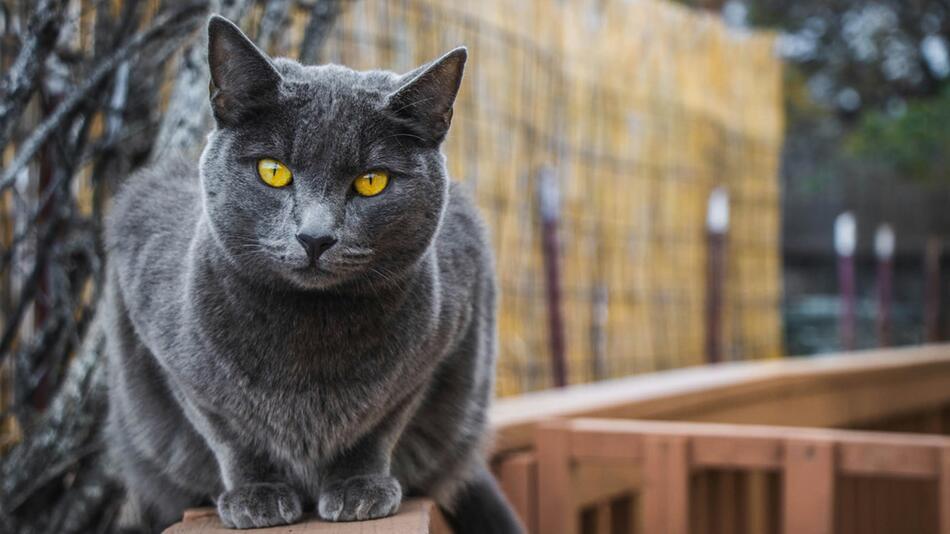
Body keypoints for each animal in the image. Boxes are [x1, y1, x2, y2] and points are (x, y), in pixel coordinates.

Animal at [104, 14, 524, 532]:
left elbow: (380, 423)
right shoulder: (172, 359)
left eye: (372, 181)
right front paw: (257, 495)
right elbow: (228, 432)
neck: (309, 333)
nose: (315, 237)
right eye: (273, 171)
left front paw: (359, 488)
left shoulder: (438, 345)